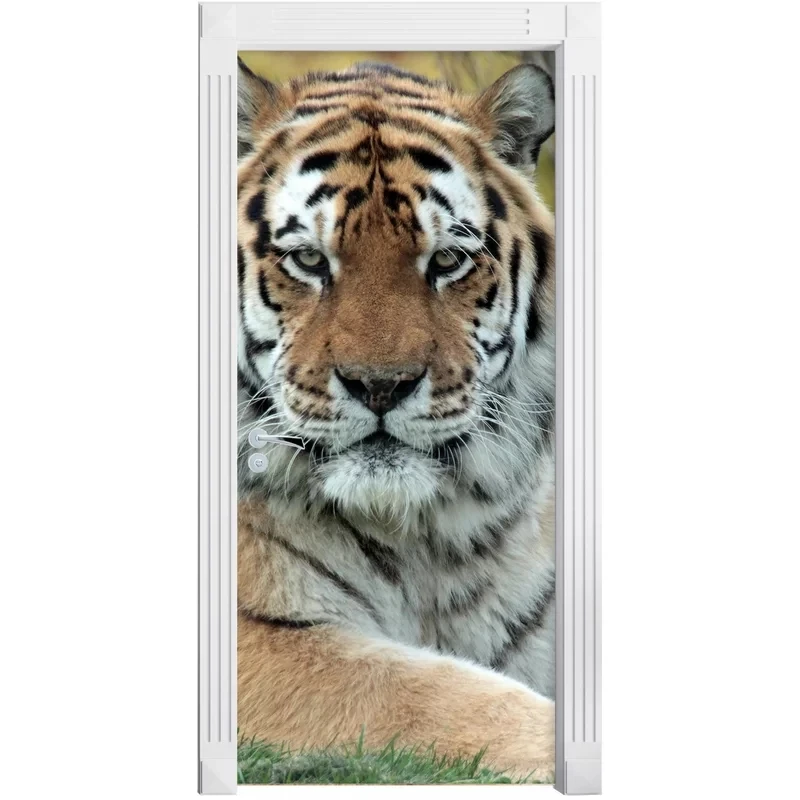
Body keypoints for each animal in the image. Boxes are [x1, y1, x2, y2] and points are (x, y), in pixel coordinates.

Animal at [236, 58, 556, 780]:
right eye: (308, 260)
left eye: (447, 261)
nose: (380, 387)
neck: (428, 542)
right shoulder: (263, 643)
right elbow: (437, 696)